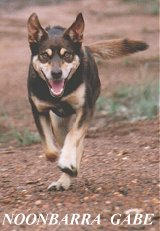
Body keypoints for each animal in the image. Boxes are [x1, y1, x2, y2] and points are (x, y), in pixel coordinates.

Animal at [26, 12, 148, 190]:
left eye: (67, 55)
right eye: (44, 56)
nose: (56, 74)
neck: (60, 94)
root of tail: (85, 47)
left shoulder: (85, 109)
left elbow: (73, 136)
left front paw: (67, 161)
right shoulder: (39, 111)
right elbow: (49, 150)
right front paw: (61, 157)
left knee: (78, 143)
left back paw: (69, 167)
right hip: (58, 123)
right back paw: (64, 178)